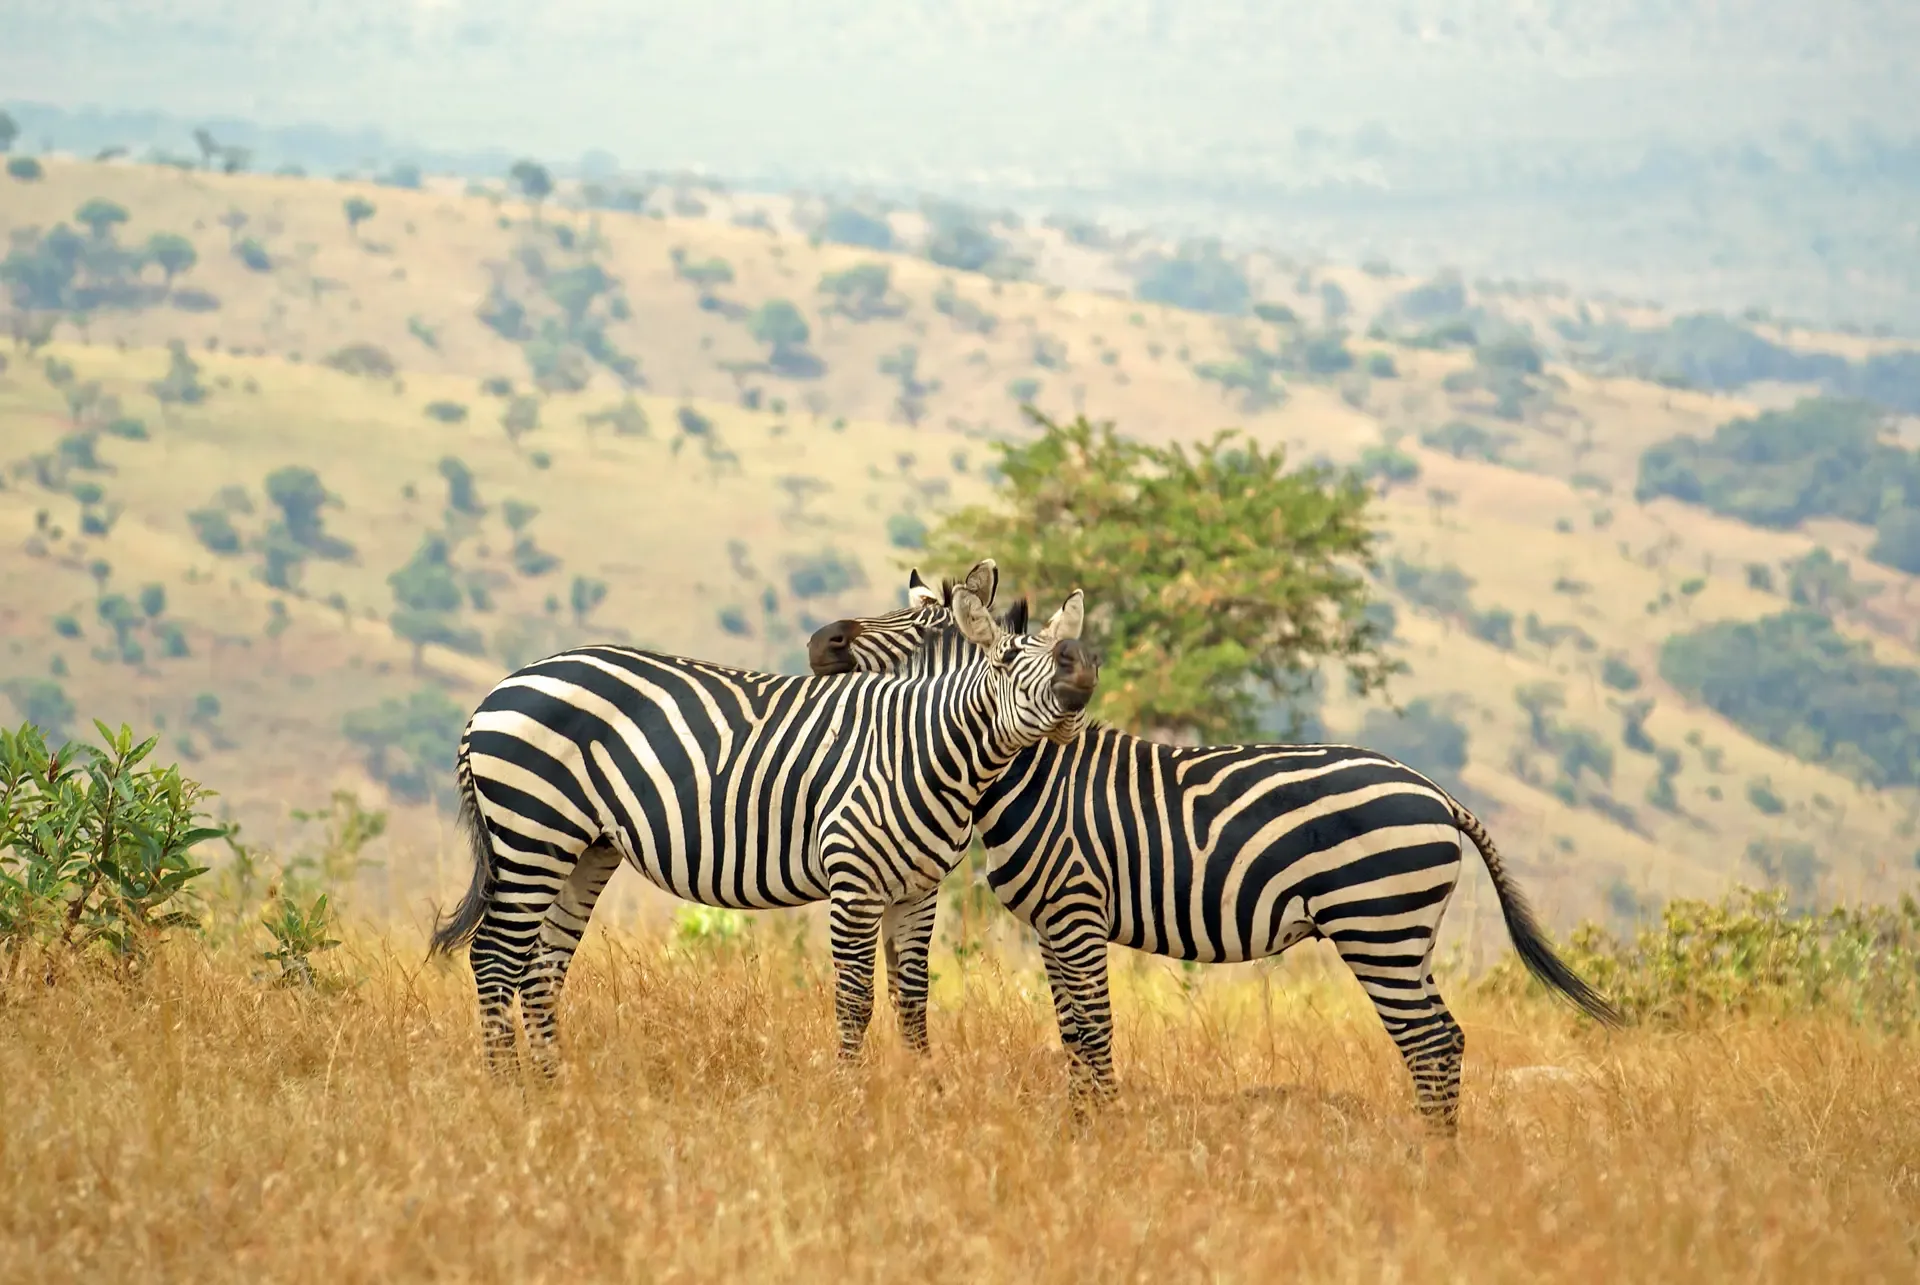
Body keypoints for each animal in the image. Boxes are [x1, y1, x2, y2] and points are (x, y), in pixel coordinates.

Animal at [428, 559, 1101, 1077]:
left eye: (913, 628)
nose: (822, 641)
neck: (923, 744)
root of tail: (498, 691)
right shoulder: (854, 880)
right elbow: (855, 1001)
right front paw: (850, 1100)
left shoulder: (918, 888)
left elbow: (912, 1000)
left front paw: (923, 1095)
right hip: (532, 833)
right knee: (494, 958)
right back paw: (510, 1094)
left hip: (584, 847)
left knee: (541, 968)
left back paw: (552, 1091)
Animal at [807, 576, 1620, 1131]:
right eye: (1010, 657)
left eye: (915, 624)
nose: (821, 642)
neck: (1031, 774)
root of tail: (1436, 792)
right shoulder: (1052, 923)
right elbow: (1072, 1031)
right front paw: (1080, 1127)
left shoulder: (1077, 908)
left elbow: (1094, 1027)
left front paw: (1101, 1133)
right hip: (1406, 935)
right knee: (1445, 1037)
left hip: (1378, 925)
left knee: (1428, 1041)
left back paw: (1433, 1161)